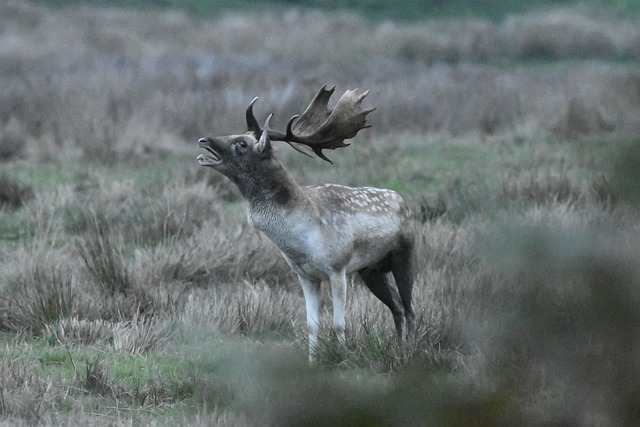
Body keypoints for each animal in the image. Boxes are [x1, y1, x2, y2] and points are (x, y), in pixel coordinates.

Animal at [197, 85, 415, 361]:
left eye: (242, 143)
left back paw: (412, 350)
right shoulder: (305, 275)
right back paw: (399, 348)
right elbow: (312, 324)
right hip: (372, 269)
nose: (204, 140)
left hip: (405, 253)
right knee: (396, 306)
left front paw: (344, 358)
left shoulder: (337, 267)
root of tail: (404, 202)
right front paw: (312, 361)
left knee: (409, 307)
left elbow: (339, 323)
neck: (301, 240)